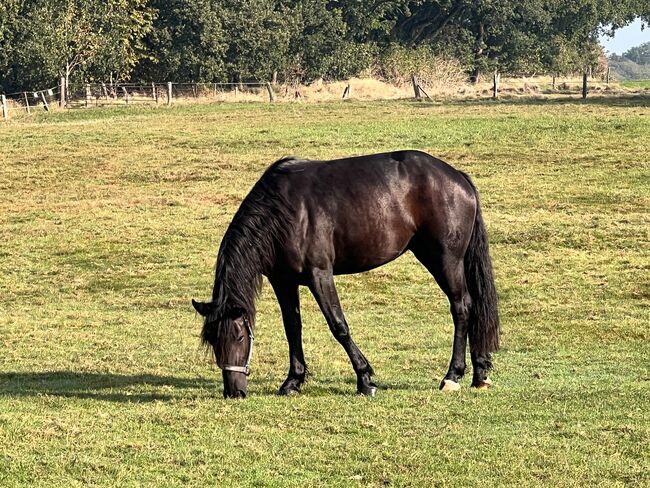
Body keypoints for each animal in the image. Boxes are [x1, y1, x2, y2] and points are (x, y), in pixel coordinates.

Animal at [190, 151, 498, 398]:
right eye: (212, 340)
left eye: (239, 337)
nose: (234, 392)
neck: (283, 211)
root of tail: (457, 177)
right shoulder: (283, 281)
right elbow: (292, 328)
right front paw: (292, 381)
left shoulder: (319, 276)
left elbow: (338, 325)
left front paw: (365, 379)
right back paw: (479, 374)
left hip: (446, 260)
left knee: (462, 307)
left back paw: (452, 375)